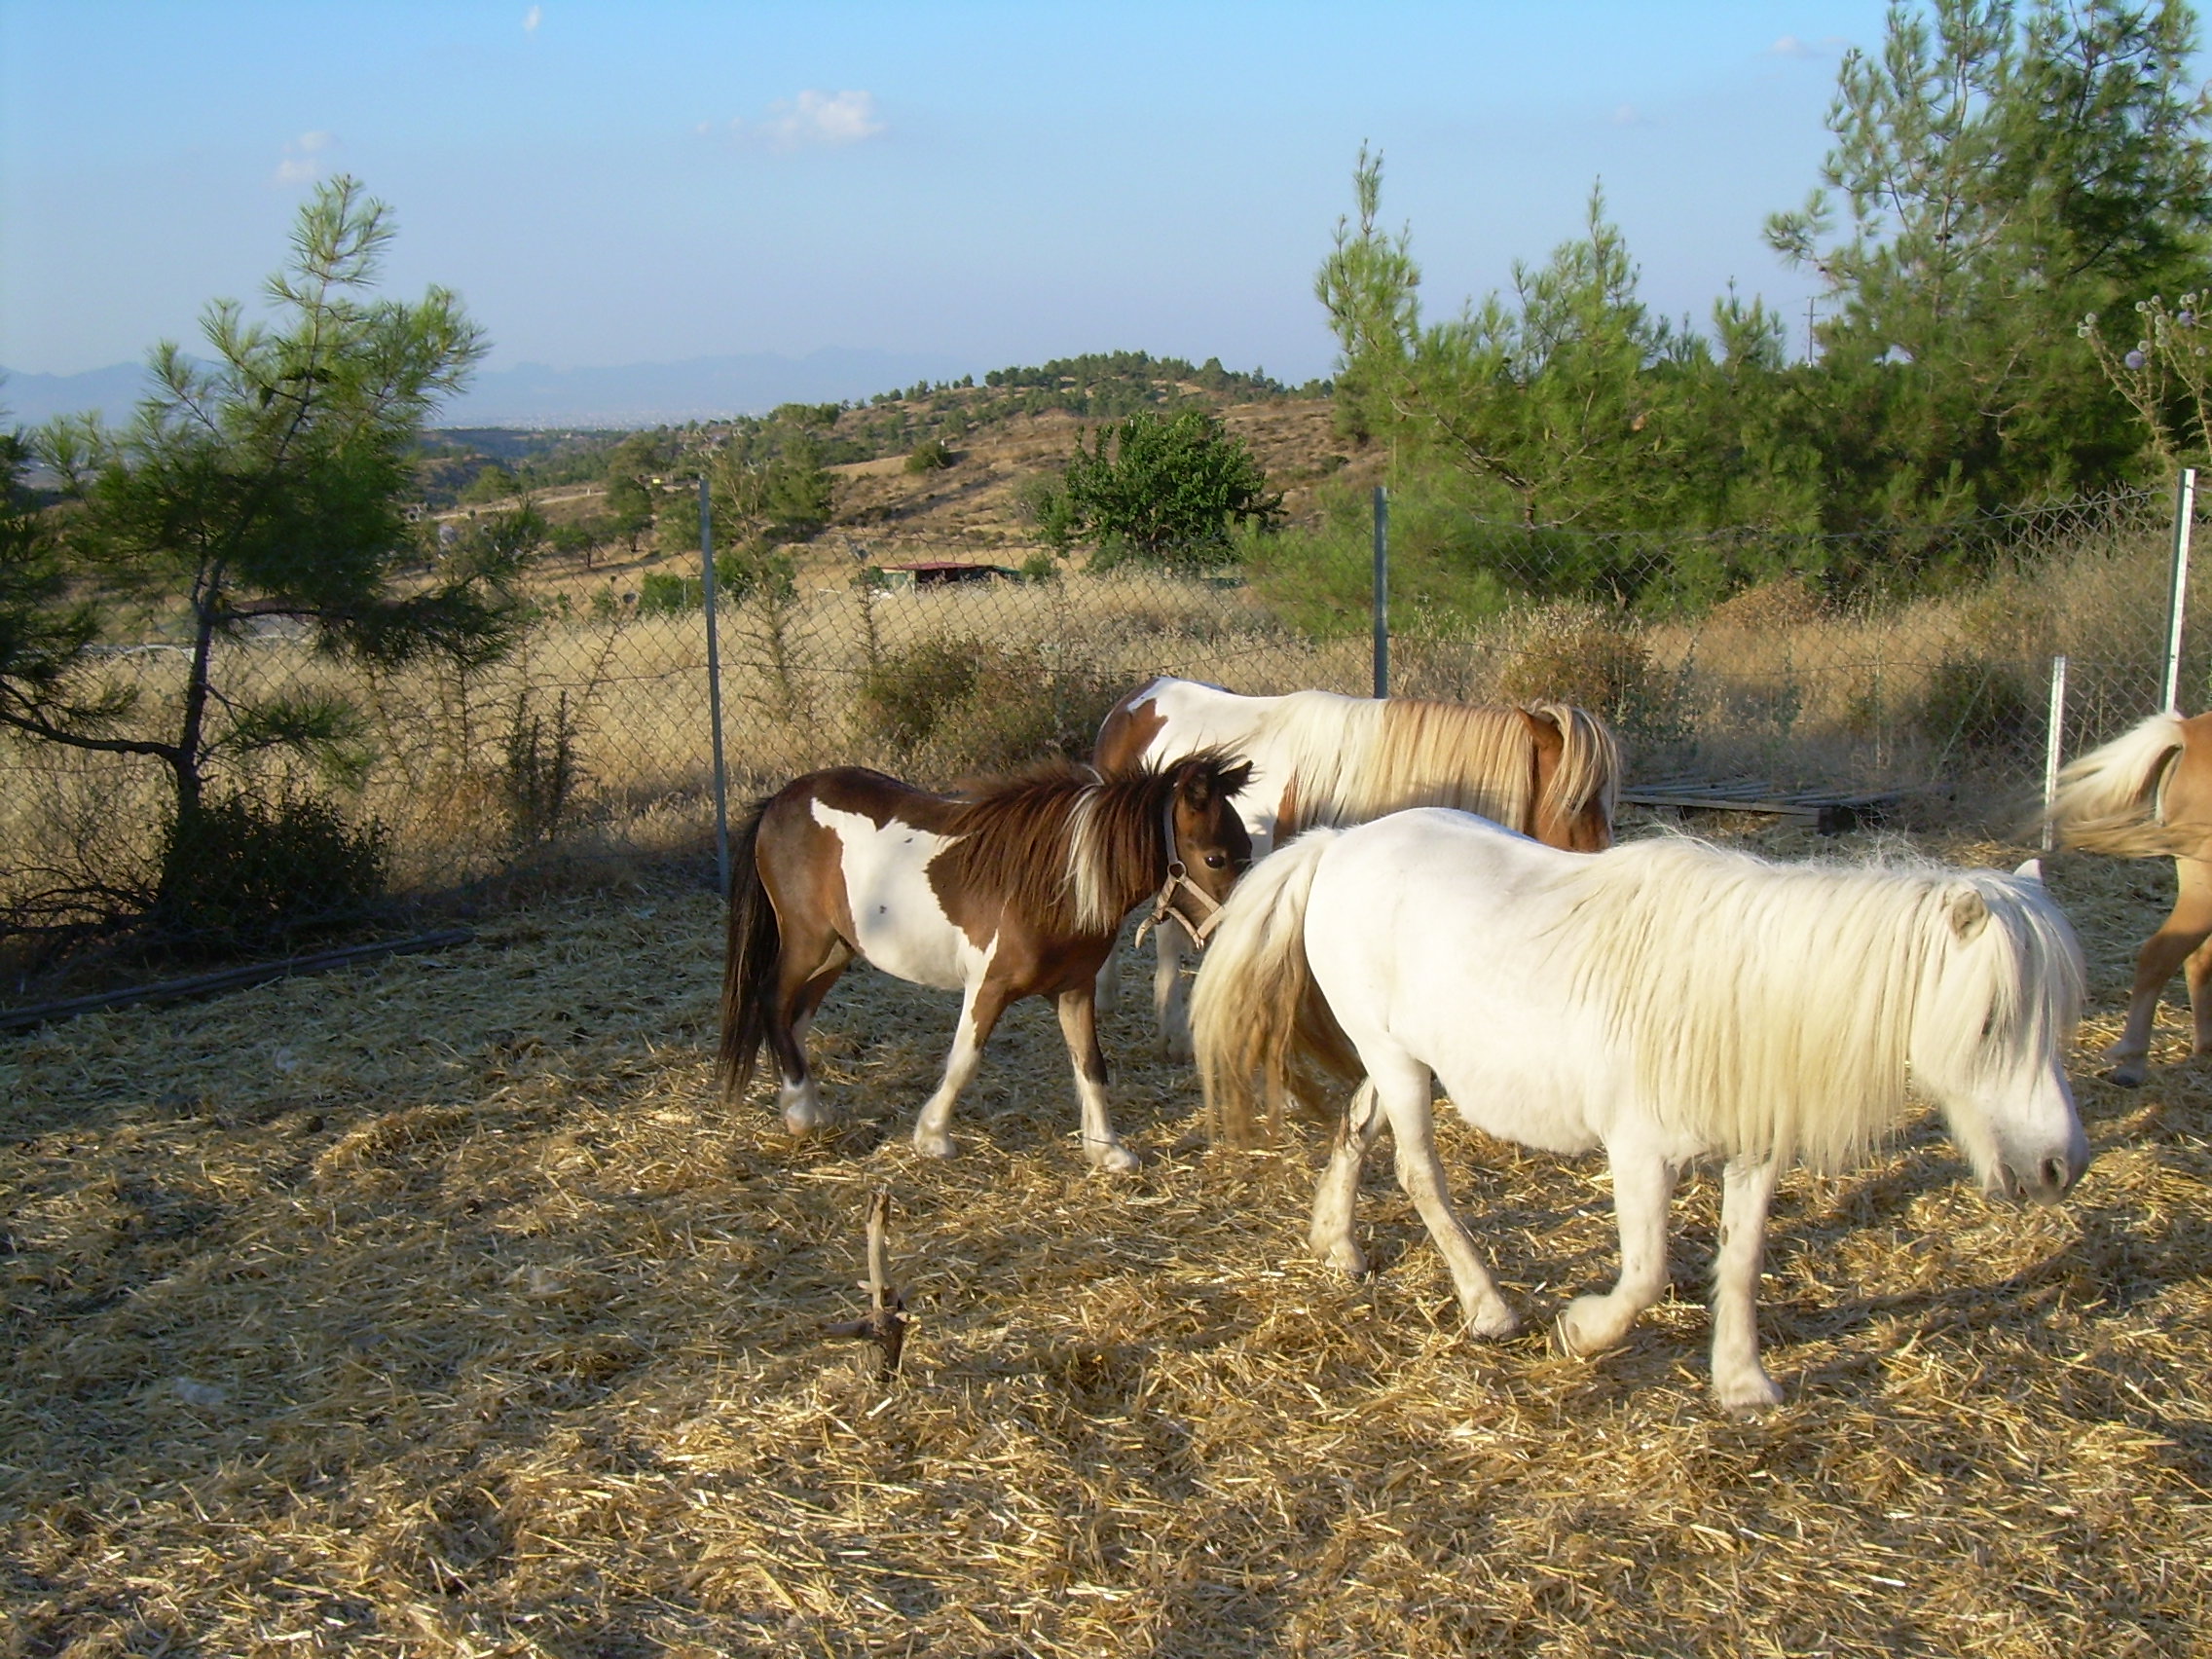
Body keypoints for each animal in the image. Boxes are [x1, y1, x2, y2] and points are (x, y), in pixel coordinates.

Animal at [719, 751, 1252, 1171]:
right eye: (1215, 858)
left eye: (1247, 849)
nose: (1239, 932)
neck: (1053, 882)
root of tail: (781, 801)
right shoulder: (988, 987)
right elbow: (964, 1060)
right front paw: (933, 1136)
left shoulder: (1075, 990)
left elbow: (1090, 1065)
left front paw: (1106, 1149)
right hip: (807, 941)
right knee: (773, 1001)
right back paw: (800, 1113)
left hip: (836, 950)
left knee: (796, 1016)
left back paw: (804, 1103)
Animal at [1190, 810, 2089, 1413]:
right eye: (1988, 1021)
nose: (2060, 1166)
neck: (1737, 995)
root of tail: (1339, 843)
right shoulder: (1639, 1152)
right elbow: (1649, 1271)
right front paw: (1582, 1330)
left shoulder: (1754, 1152)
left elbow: (1743, 1259)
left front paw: (1741, 1382)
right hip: (1401, 1063)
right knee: (1419, 1173)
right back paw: (1489, 1308)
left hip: (1404, 1059)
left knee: (1356, 1127)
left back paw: (1337, 1244)